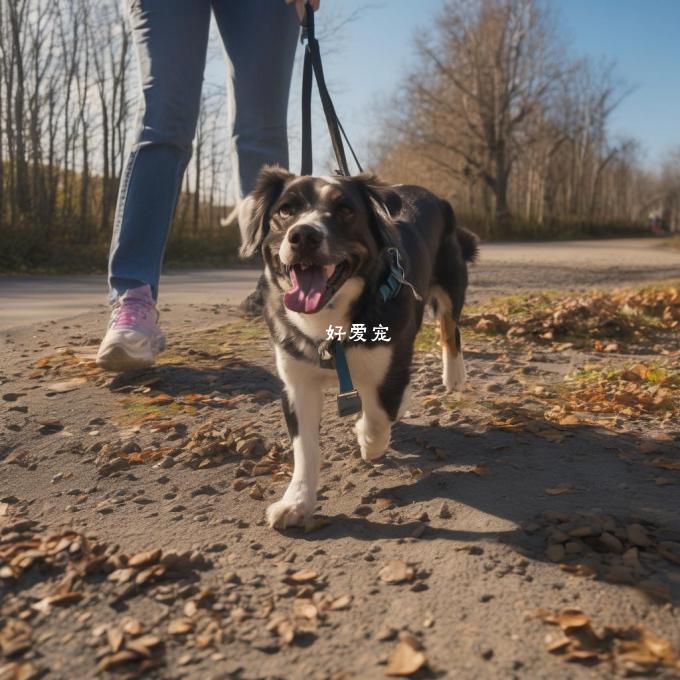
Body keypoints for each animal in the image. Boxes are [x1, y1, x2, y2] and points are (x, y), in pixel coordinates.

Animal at [239, 167, 478, 528]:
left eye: (344, 210)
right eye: (285, 210)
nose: (303, 236)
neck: (329, 318)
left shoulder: (389, 358)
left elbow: (379, 416)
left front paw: (367, 440)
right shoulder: (296, 380)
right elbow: (305, 447)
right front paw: (297, 502)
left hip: (451, 280)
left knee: (450, 328)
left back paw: (453, 375)